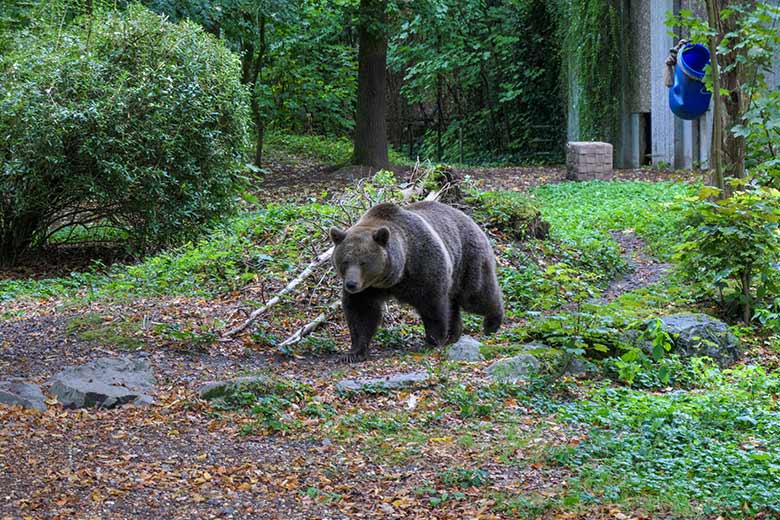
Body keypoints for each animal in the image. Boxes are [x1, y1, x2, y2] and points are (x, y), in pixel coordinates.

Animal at [328, 200, 500, 362]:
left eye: (363, 262)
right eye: (345, 261)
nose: (351, 284)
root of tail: (471, 220)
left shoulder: (424, 266)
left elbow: (433, 306)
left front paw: (432, 341)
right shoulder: (368, 289)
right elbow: (361, 313)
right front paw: (353, 353)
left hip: (467, 261)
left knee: (476, 296)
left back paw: (492, 324)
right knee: (454, 304)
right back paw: (454, 336)